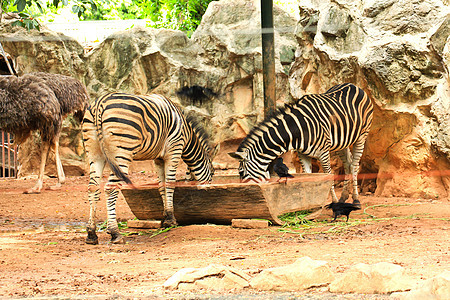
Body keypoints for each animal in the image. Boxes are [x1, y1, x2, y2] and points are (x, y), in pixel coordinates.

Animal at [82, 92, 216, 245]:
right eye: (213, 172)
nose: (208, 190)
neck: (187, 135)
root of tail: (100, 103)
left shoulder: (158, 158)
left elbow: (161, 186)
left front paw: (165, 218)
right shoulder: (174, 150)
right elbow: (170, 184)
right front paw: (171, 219)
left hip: (94, 152)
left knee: (93, 188)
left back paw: (91, 234)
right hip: (121, 153)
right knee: (111, 188)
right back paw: (115, 233)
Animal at [229, 83, 372, 207]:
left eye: (241, 172)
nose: (243, 195)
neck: (296, 130)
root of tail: (354, 85)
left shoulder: (323, 153)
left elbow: (328, 176)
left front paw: (334, 202)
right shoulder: (303, 154)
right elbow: (308, 176)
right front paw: (309, 205)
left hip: (362, 135)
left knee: (354, 165)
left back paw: (356, 200)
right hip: (343, 142)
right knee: (348, 164)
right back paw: (343, 197)